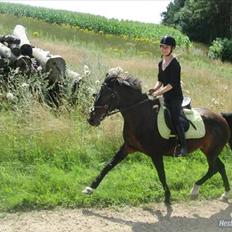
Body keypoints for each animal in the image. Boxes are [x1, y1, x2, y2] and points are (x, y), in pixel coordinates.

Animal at [82, 66, 231, 203]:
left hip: (211, 152)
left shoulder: (155, 154)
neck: (141, 116)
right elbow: (108, 165)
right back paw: (225, 194)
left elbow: (161, 174)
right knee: (220, 167)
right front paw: (90, 188)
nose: (91, 119)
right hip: (208, 150)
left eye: (109, 95)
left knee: (213, 169)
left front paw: (168, 196)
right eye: (97, 94)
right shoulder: (128, 147)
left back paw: (195, 189)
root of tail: (221, 117)